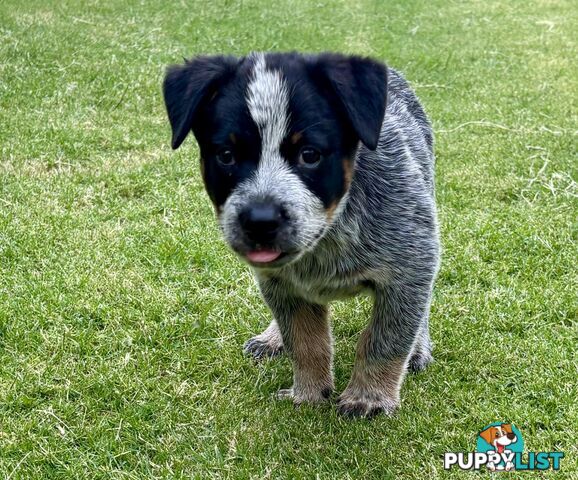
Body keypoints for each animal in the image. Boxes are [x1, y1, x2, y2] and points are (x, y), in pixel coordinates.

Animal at [160, 51, 438, 416]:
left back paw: (418, 349)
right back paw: (272, 337)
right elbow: (305, 343)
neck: (327, 237)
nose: (260, 220)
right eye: (226, 155)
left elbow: (385, 339)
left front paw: (369, 396)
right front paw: (308, 393)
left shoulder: (409, 268)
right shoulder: (278, 283)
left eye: (310, 154)